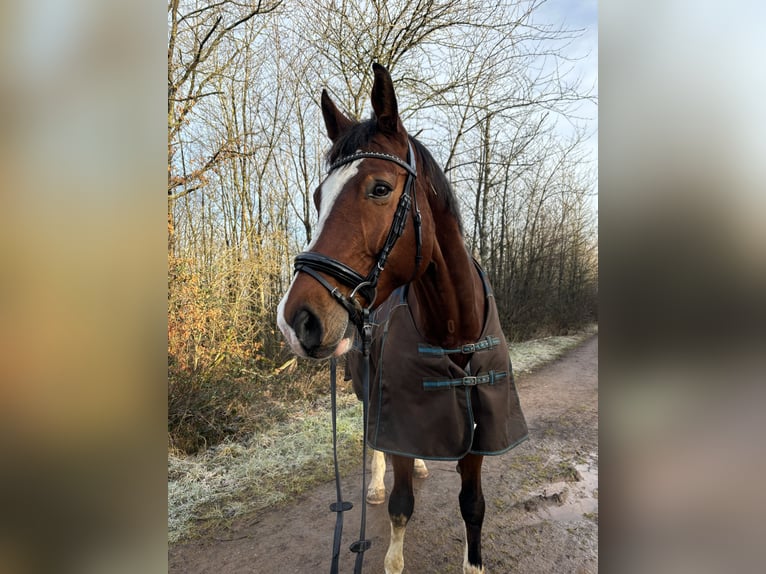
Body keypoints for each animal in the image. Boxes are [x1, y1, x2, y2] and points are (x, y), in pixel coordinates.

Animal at [277, 63, 527, 574]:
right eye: (318, 196)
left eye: (380, 188)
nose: (297, 320)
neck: (453, 333)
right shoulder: (398, 419)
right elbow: (399, 506)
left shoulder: (477, 438)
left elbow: (473, 506)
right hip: (368, 389)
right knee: (373, 441)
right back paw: (375, 482)